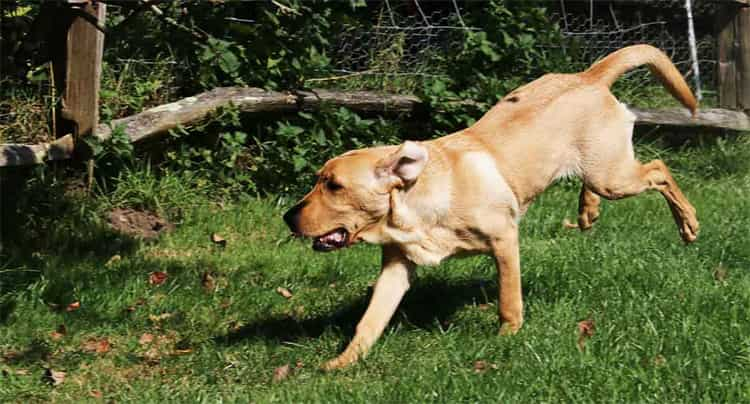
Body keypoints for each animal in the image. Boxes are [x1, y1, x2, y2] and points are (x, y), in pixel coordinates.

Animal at [284, 44, 700, 370]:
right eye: (320, 180)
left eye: (334, 186)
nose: (288, 217)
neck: (413, 206)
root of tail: (589, 77)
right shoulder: (396, 266)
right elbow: (370, 321)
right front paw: (343, 362)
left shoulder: (504, 241)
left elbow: (509, 300)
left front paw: (507, 337)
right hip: (600, 169)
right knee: (602, 182)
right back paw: (588, 210)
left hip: (613, 177)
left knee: (659, 170)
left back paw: (688, 223)